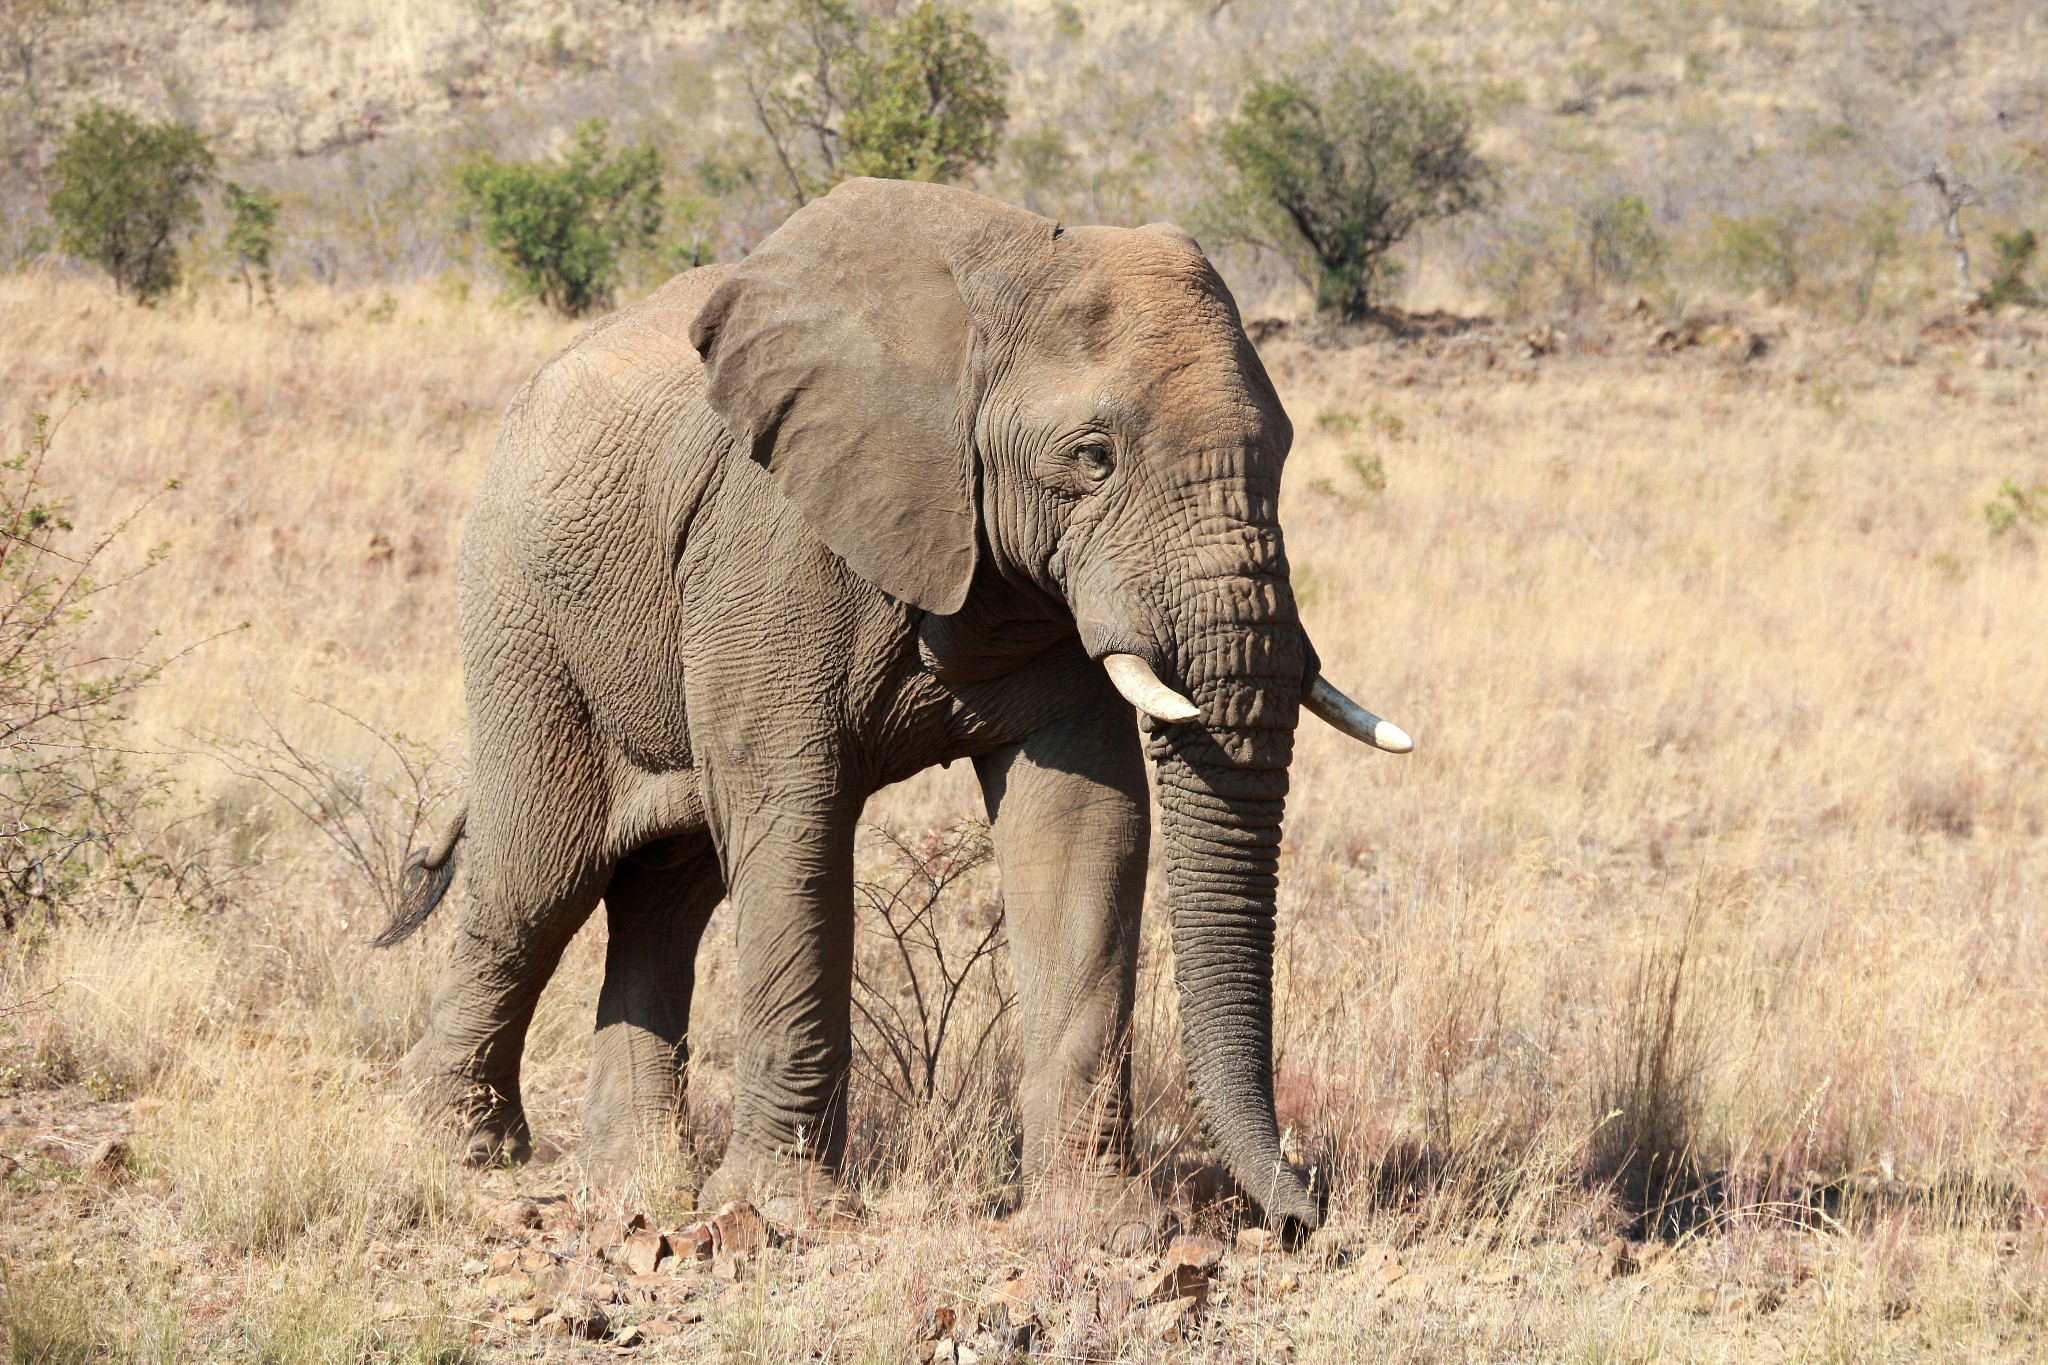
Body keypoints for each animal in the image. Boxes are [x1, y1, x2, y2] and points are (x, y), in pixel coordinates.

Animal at [380, 175, 1409, 1244]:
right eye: (1093, 457)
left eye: (1282, 453)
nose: (1305, 1208)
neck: (997, 285)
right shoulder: (774, 540)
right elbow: (794, 819)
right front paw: (785, 1215)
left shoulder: (1052, 590)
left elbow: (1085, 827)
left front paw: (1105, 1226)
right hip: (522, 615)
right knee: (539, 875)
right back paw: (457, 1147)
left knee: (664, 890)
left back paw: (636, 1182)